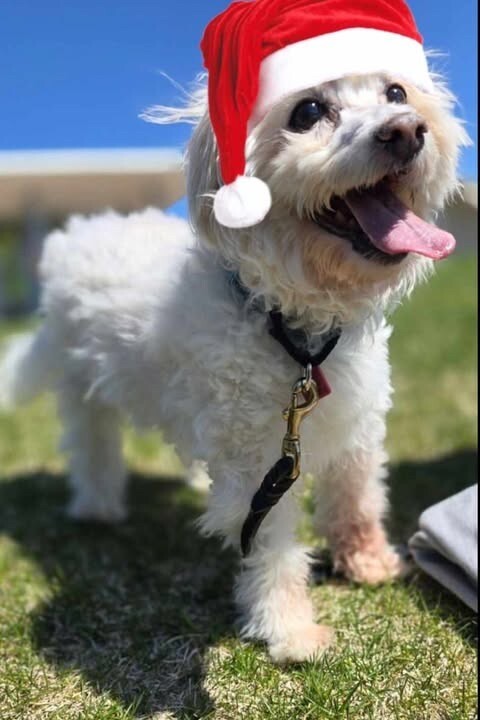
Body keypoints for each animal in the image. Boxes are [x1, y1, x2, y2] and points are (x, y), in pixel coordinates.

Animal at [0, 59, 464, 668]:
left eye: (396, 92)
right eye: (308, 111)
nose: (406, 130)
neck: (295, 327)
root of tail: (79, 230)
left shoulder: (358, 422)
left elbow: (357, 497)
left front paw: (368, 561)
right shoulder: (260, 462)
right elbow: (273, 548)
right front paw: (290, 629)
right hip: (84, 384)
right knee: (92, 445)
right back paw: (98, 506)